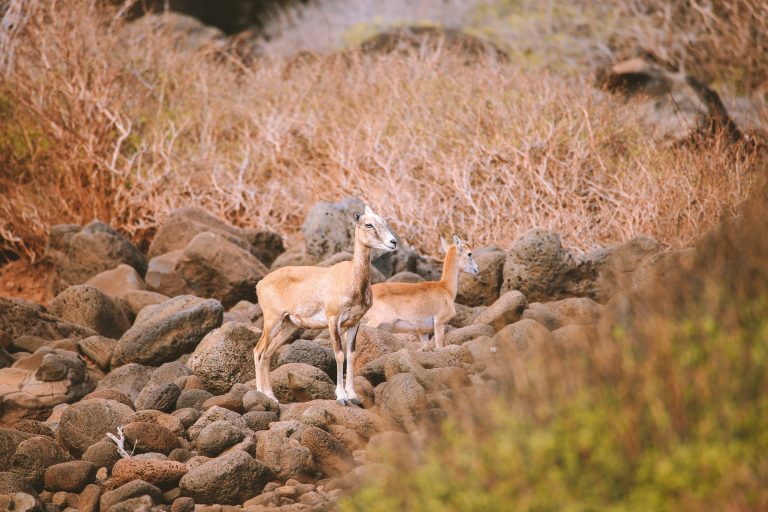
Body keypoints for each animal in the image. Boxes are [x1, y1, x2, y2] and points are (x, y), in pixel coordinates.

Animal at [254, 204, 396, 404]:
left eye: (384, 221)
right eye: (368, 224)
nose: (393, 242)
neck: (350, 277)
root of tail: (260, 284)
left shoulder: (354, 323)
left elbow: (351, 355)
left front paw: (353, 396)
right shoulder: (333, 321)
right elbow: (339, 354)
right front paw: (341, 397)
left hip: (288, 325)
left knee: (267, 354)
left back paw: (271, 396)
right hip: (272, 322)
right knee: (258, 351)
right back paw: (263, 396)